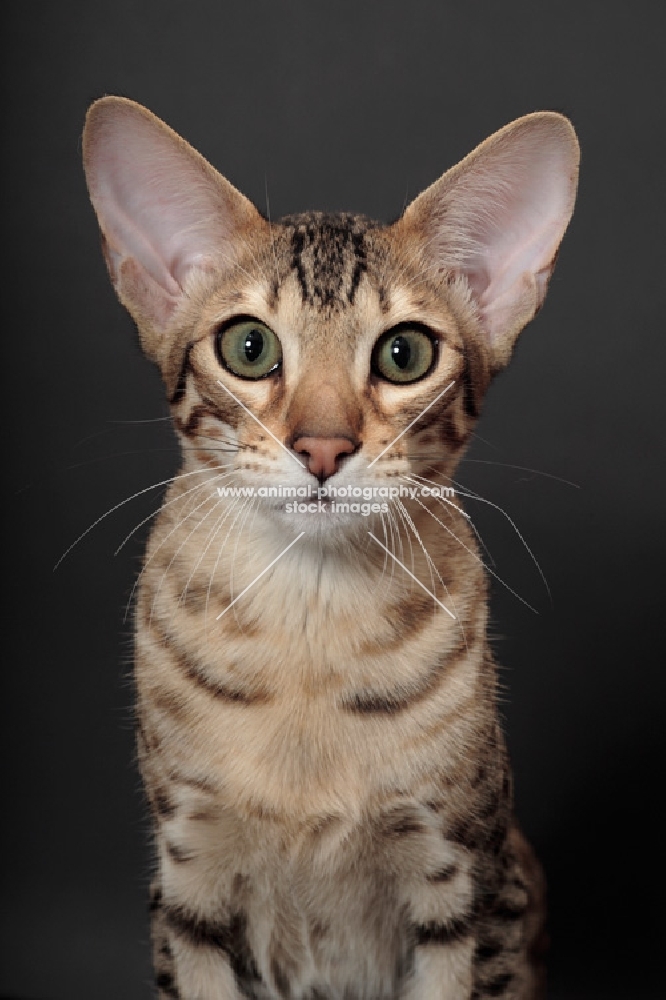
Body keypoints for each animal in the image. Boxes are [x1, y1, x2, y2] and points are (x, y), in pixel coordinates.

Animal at [81, 95, 576, 1000]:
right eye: (248, 347)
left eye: (404, 353)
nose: (321, 446)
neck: (308, 628)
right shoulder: (186, 879)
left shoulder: (472, 882)